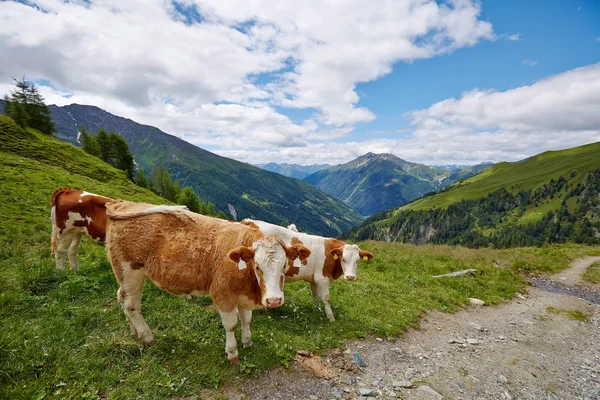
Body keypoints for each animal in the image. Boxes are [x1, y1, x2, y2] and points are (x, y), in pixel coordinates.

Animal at [105, 202, 312, 364]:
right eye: (258, 266)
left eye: (284, 265)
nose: (274, 300)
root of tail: (123, 204)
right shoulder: (223, 294)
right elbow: (231, 325)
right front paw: (232, 353)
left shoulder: (243, 295)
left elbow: (246, 319)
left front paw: (247, 342)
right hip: (130, 271)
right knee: (130, 305)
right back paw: (147, 337)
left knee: (122, 298)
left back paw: (134, 332)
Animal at [241, 219, 372, 322]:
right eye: (343, 259)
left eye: (357, 261)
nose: (350, 277)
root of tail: (249, 221)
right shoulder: (322, 278)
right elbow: (326, 298)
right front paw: (331, 318)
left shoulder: (314, 279)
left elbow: (315, 295)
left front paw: (318, 310)